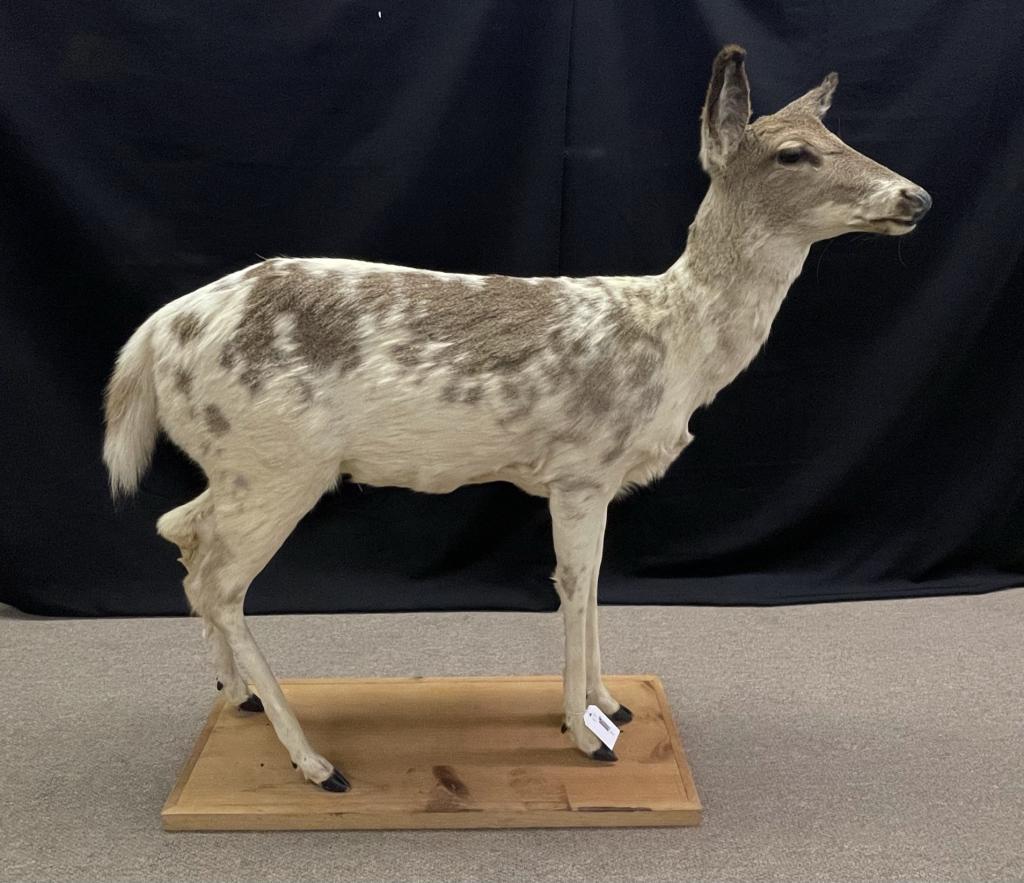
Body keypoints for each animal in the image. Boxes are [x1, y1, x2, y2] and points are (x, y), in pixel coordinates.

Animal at [103, 46, 931, 792]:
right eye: (794, 152)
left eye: (838, 134)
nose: (915, 196)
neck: (675, 343)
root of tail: (151, 339)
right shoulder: (579, 467)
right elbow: (574, 583)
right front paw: (585, 736)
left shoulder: (601, 481)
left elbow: (595, 585)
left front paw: (611, 704)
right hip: (279, 461)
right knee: (218, 578)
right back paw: (316, 763)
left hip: (239, 463)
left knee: (181, 531)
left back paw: (237, 695)